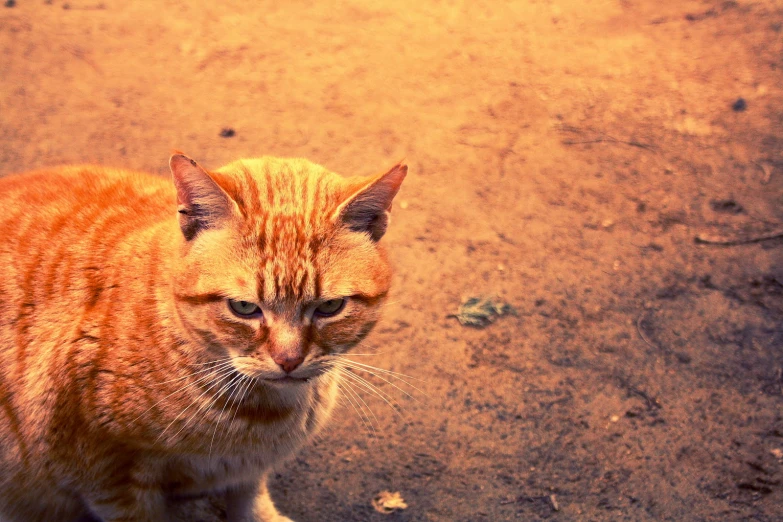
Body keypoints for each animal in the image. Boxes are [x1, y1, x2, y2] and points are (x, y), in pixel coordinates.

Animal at [0, 154, 408, 520]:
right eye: (243, 308)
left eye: (330, 307)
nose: (289, 360)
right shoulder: (109, 480)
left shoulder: (247, 470)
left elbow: (249, 500)